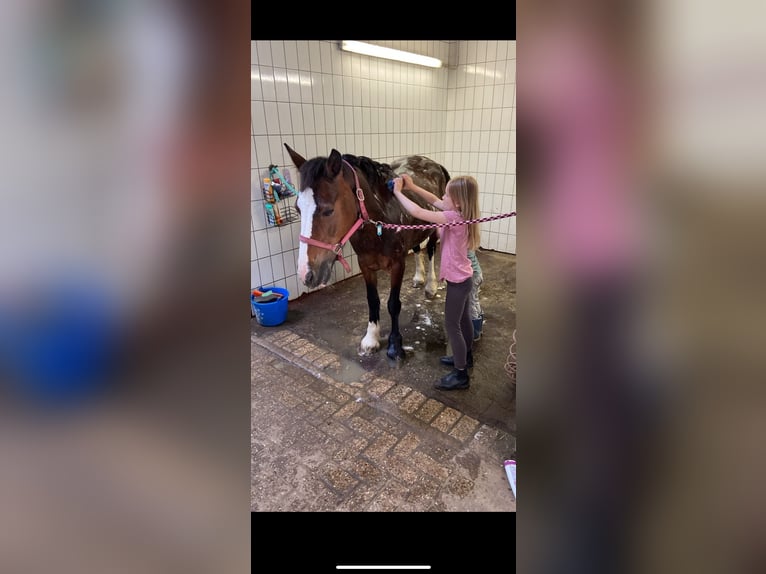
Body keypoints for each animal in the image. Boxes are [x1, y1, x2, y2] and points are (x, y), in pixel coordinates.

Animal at [284, 145, 452, 360]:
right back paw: (418, 278)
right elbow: (373, 301)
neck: (380, 220)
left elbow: (393, 304)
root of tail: (434, 164)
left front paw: (395, 346)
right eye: (298, 209)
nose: (306, 273)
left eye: (328, 210)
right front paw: (371, 339)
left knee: (430, 250)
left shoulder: (398, 264)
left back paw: (430, 286)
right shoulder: (365, 264)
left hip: (436, 225)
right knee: (416, 248)